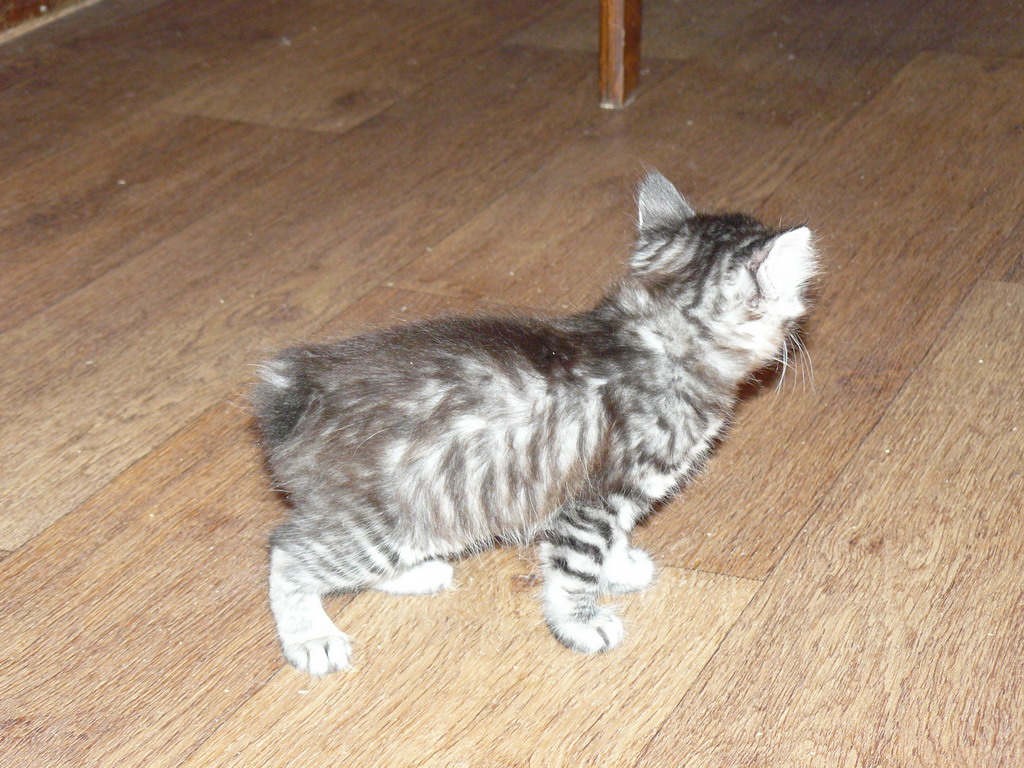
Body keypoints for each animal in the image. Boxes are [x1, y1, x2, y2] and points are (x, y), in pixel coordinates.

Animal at [252, 171, 817, 675]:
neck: (656, 337)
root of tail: (296, 391)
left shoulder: (606, 501)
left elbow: (613, 543)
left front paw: (619, 568)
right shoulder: (593, 501)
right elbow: (575, 570)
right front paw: (582, 623)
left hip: (419, 516)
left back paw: (415, 576)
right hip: (390, 516)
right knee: (289, 554)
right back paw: (311, 637)